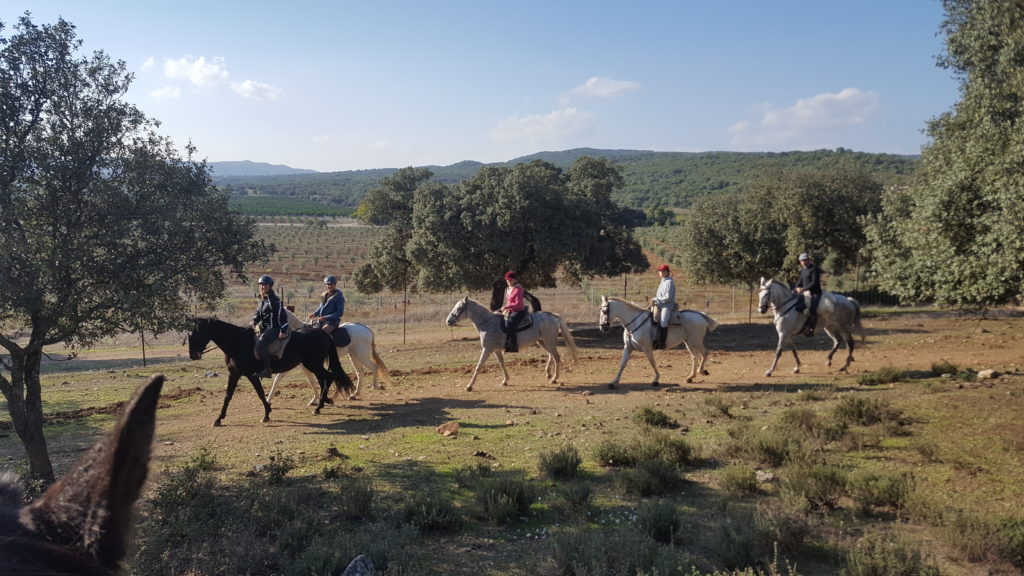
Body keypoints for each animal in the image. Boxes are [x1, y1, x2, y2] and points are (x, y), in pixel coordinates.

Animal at [190, 315, 354, 424]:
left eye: (195, 333)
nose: (192, 355)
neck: (238, 343)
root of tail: (322, 333)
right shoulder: (234, 374)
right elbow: (228, 396)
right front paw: (219, 418)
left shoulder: (251, 375)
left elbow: (260, 393)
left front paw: (266, 414)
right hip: (313, 365)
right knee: (324, 379)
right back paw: (322, 402)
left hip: (313, 364)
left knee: (329, 376)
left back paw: (320, 406)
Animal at [446, 295, 581, 389]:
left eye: (459, 308)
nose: (448, 321)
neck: (487, 323)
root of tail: (553, 316)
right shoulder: (496, 350)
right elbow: (502, 364)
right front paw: (505, 381)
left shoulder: (487, 349)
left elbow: (479, 366)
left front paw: (469, 386)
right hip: (542, 341)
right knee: (551, 355)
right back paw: (548, 373)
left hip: (549, 341)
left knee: (556, 357)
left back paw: (554, 378)